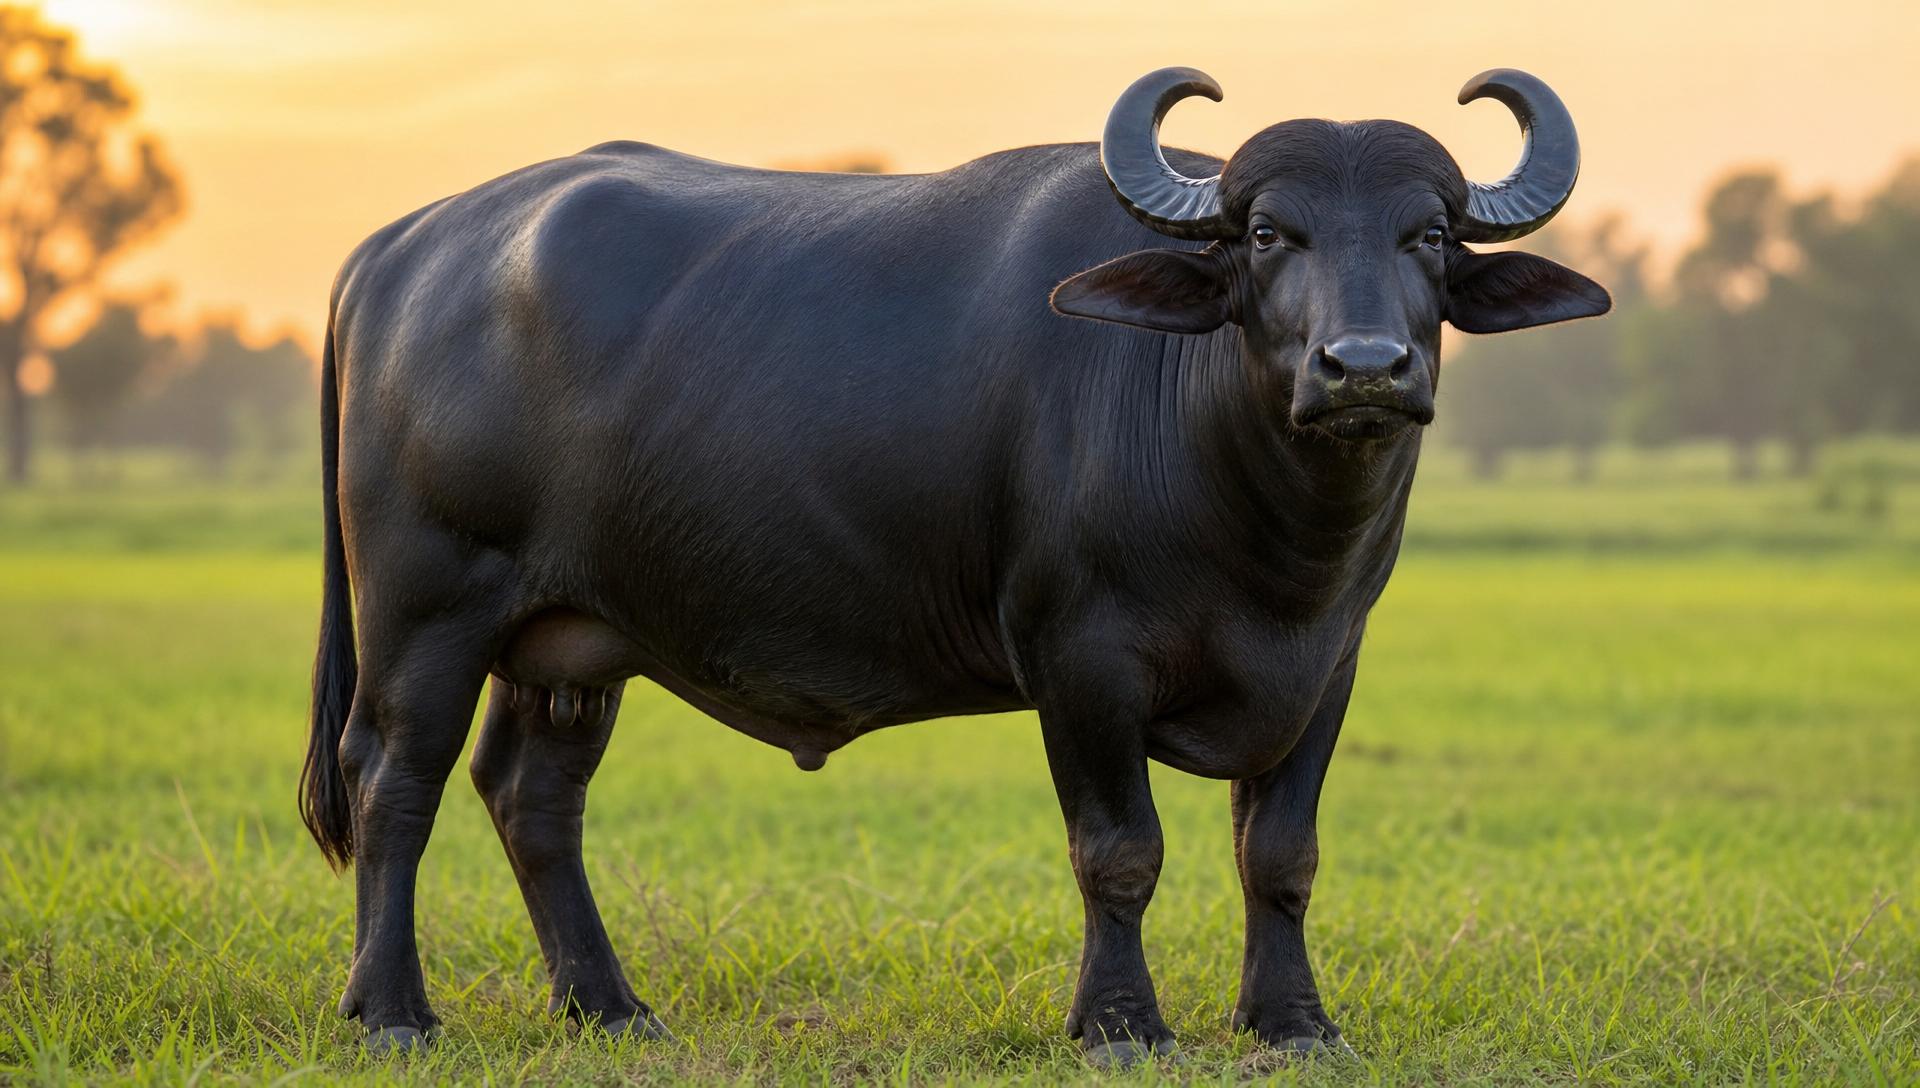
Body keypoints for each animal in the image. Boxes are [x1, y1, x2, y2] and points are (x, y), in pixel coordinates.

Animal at [300, 66, 1609, 1064]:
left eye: (1427, 234)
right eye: (1267, 233)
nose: (1365, 366)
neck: (1262, 526)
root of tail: (401, 248)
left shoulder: (1327, 663)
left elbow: (1280, 853)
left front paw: (1293, 1022)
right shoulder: (1080, 654)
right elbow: (1120, 848)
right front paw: (1120, 1025)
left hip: (573, 638)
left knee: (533, 793)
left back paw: (610, 1007)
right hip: (427, 606)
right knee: (394, 778)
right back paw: (393, 1011)